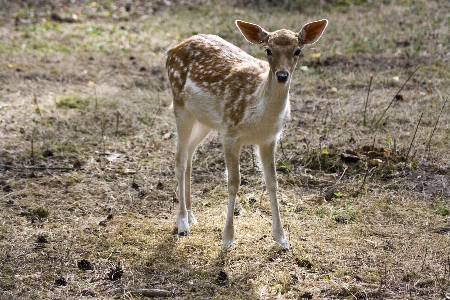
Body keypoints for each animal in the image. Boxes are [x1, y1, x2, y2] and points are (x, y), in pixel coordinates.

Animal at [165, 17, 326, 250]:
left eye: (298, 50)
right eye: (268, 50)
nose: (282, 75)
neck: (257, 115)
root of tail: (171, 50)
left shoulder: (269, 139)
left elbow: (272, 181)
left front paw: (282, 239)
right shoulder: (230, 133)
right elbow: (234, 182)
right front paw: (227, 239)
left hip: (205, 120)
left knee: (189, 156)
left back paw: (192, 216)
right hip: (180, 105)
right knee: (179, 159)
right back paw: (183, 223)